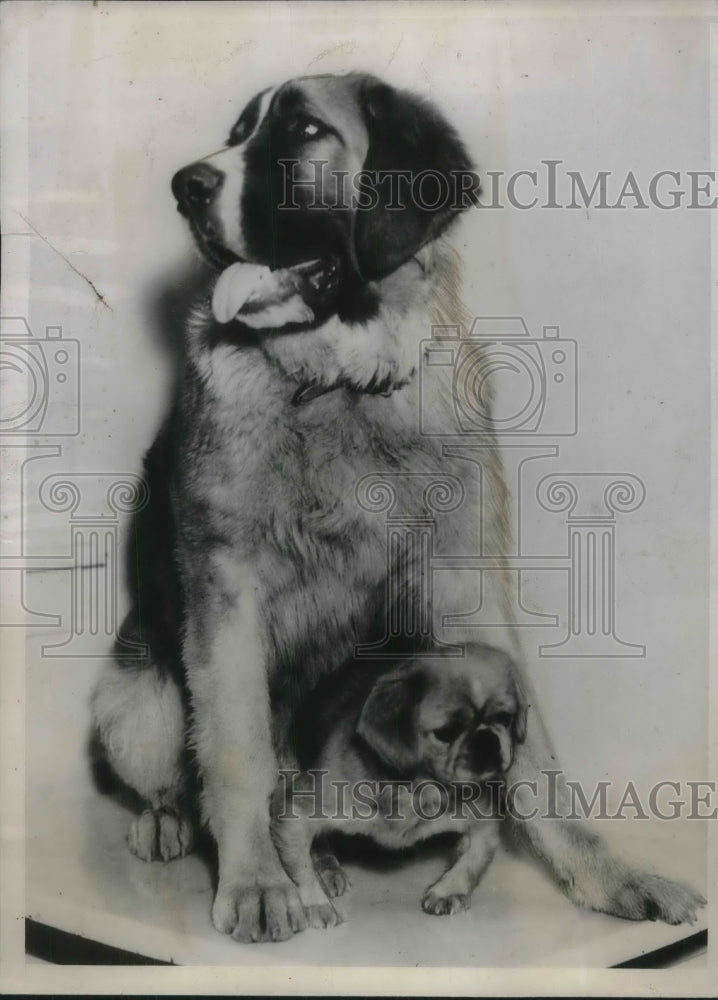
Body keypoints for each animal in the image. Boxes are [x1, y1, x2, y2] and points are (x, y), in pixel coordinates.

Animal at [272, 644, 524, 924]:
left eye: (506, 718)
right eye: (446, 732)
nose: (487, 739)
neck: (417, 789)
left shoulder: (483, 822)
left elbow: (473, 860)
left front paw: (449, 890)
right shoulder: (295, 813)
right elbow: (301, 870)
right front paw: (316, 904)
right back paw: (329, 869)